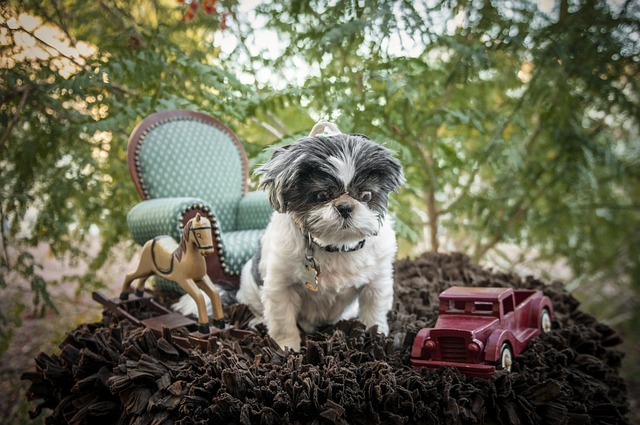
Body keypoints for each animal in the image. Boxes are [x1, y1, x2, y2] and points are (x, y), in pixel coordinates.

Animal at [235, 121, 404, 350]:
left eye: (366, 195)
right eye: (321, 195)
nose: (345, 206)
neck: (336, 247)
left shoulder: (376, 283)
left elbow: (374, 313)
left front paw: (376, 338)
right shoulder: (280, 286)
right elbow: (282, 322)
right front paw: (287, 347)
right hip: (248, 283)